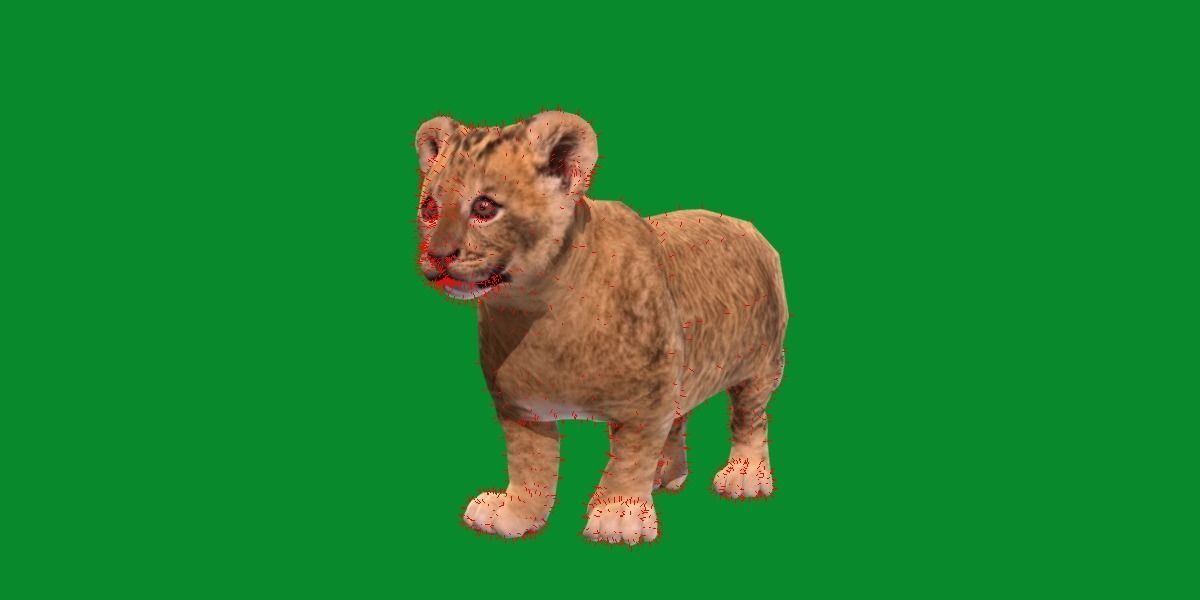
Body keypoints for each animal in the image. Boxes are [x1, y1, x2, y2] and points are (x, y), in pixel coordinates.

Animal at [413, 111, 788, 544]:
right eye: (429, 208)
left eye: (485, 207)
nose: (438, 255)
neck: (534, 308)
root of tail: (746, 225)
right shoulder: (520, 406)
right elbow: (529, 463)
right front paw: (516, 512)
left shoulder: (647, 399)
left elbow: (631, 456)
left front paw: (619, 514)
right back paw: (665, 474)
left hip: (759, 362)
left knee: (750, 417)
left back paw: (744, 474)